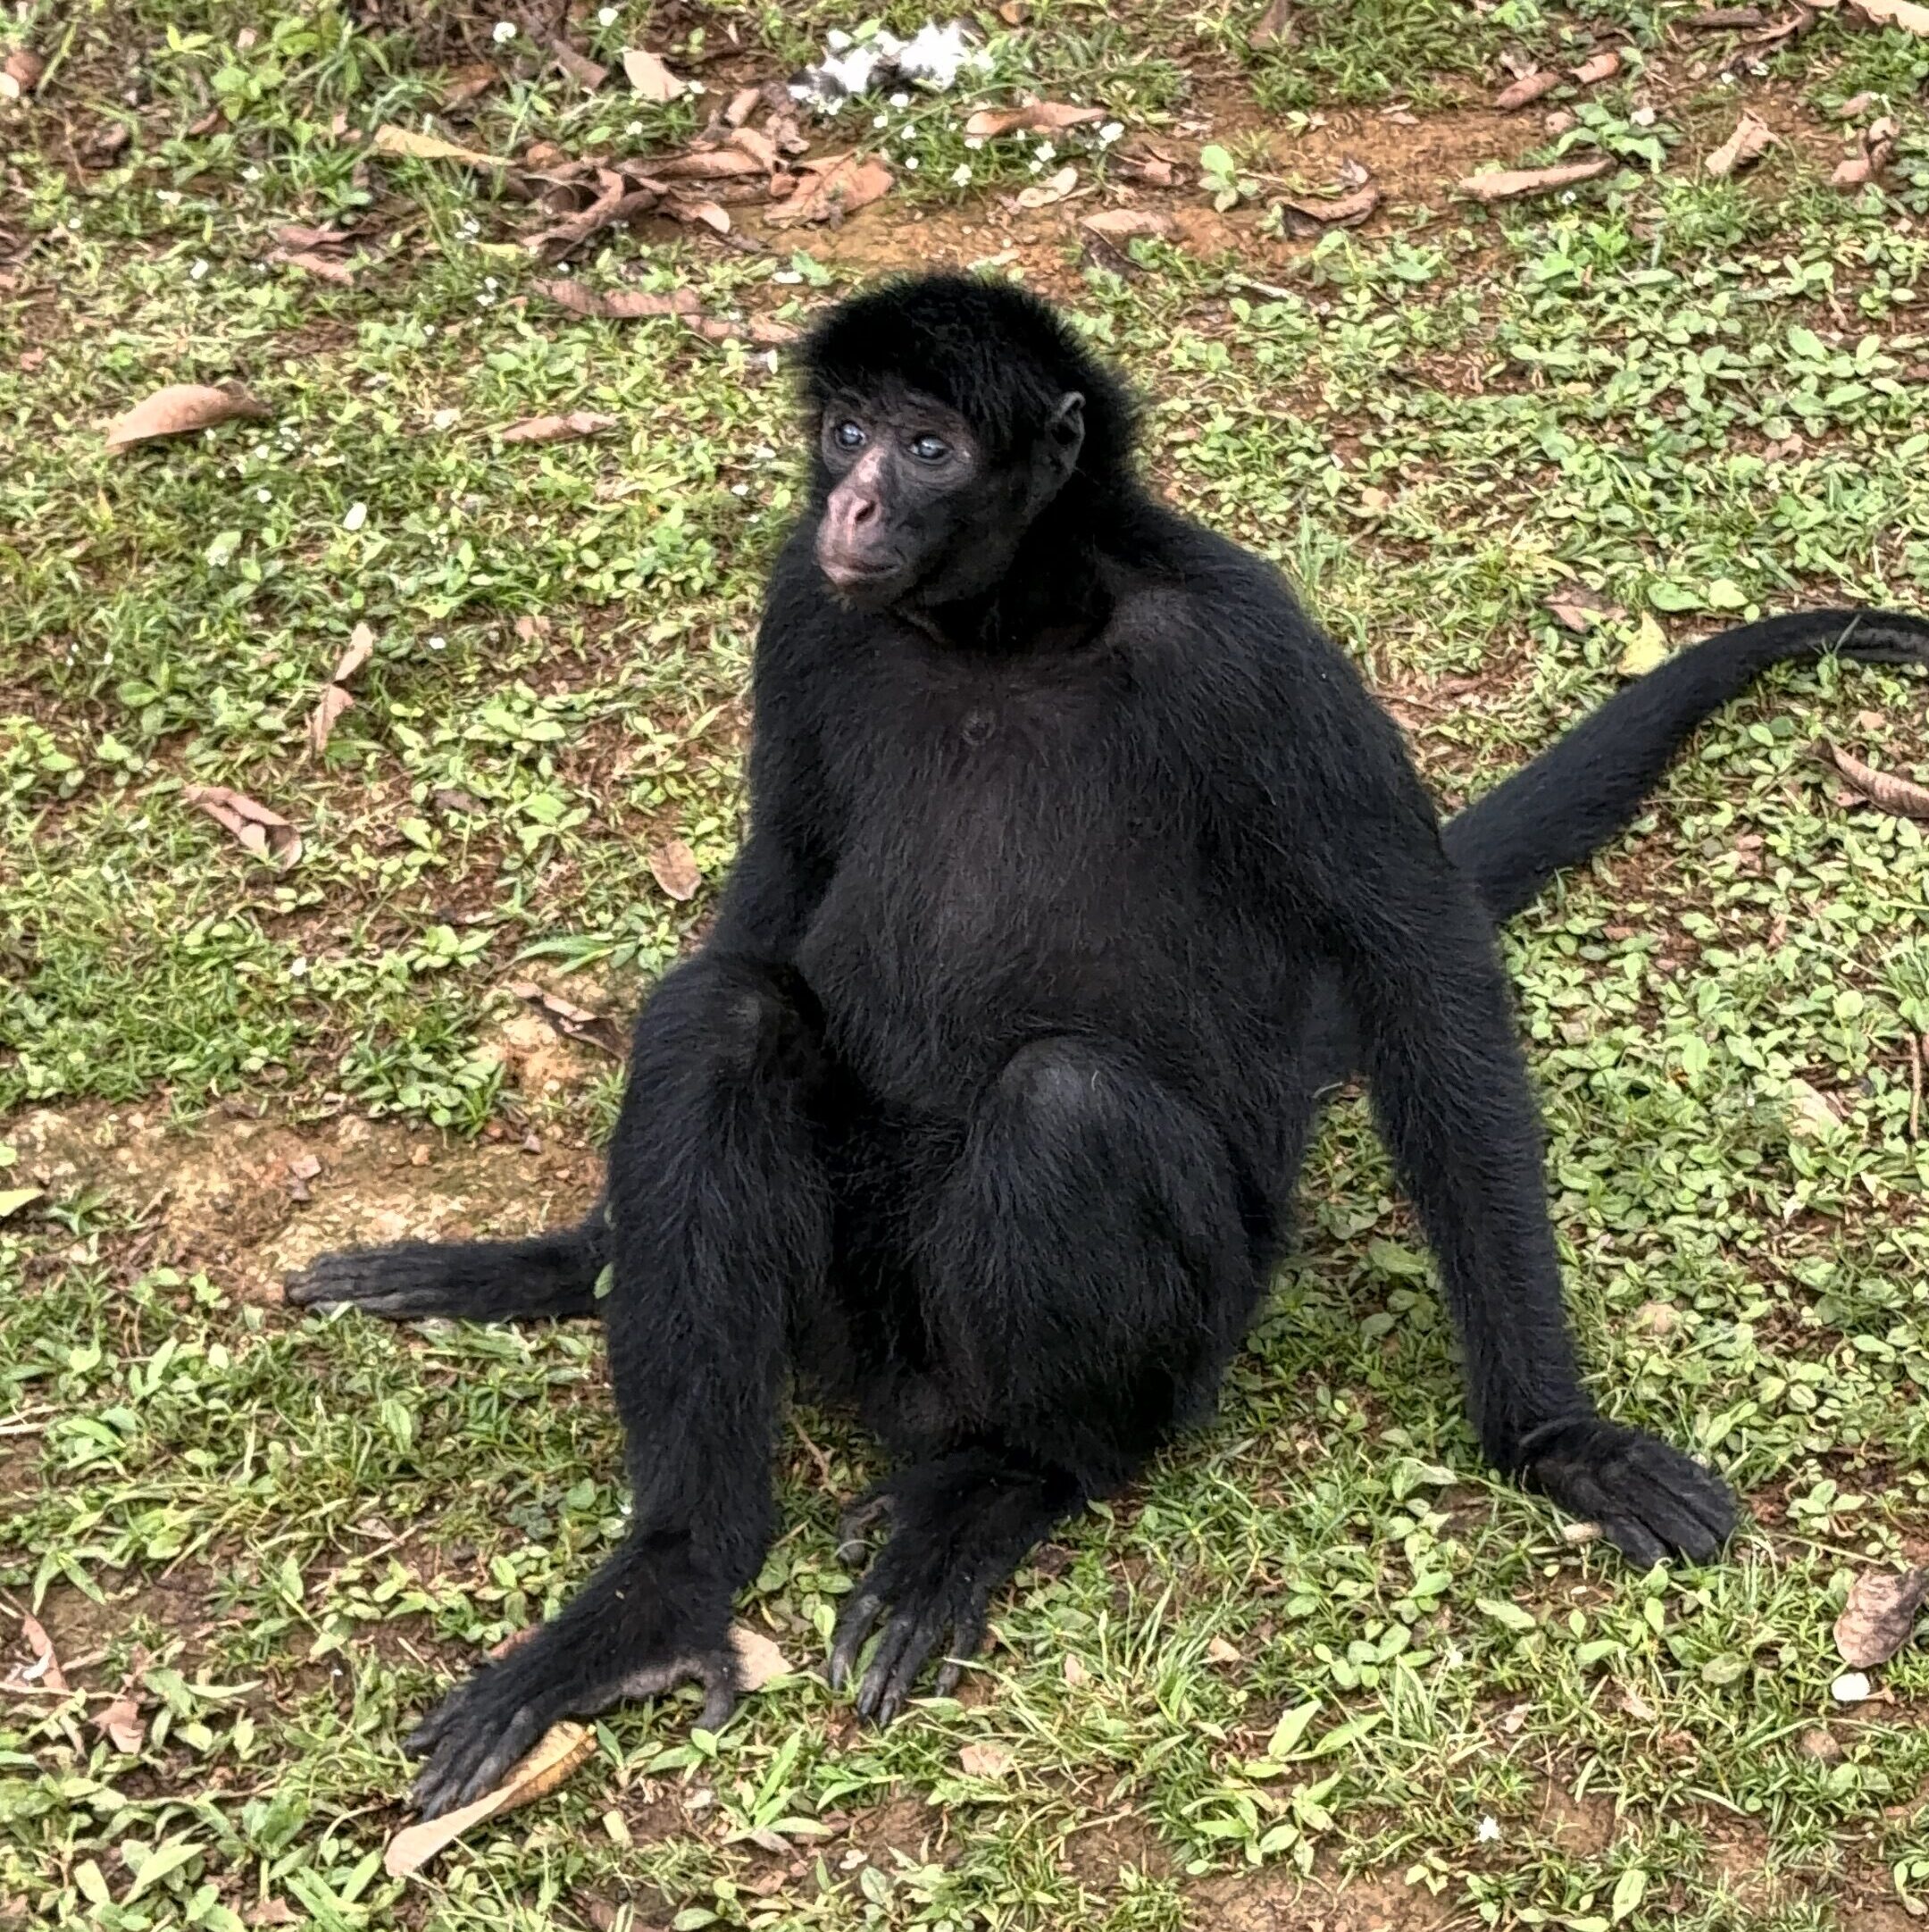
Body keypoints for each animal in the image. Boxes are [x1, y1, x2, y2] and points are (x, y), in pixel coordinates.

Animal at [290, 273, 1929, 1816]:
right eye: (846, 429)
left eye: (929, 445)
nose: (853, 501)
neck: (1007, 632)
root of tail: (907, 1391)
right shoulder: (805, 605)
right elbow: (783, 881)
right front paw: (556, 1260)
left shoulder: (1251, 648)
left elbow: (1422, 959)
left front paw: (1559, 1436)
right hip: (835, 1294)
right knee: (725, 1018)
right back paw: (664, 1586)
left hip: (1178, 1326)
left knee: (1065, 1099)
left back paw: (1007, 1479)